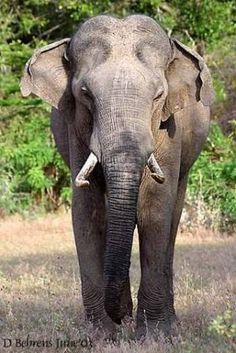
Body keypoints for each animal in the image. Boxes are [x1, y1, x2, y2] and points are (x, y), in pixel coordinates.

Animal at [19, 14, 213, 338]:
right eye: (85, 94)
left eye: (158, 96)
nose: (122, 316)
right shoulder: (76, 129)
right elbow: (88, 211)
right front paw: (101, 334)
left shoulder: (168, 130)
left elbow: (154, 209)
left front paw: (153, 335)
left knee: (173, 216)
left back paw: (169, 323)